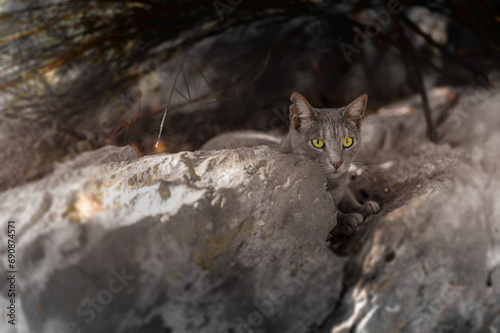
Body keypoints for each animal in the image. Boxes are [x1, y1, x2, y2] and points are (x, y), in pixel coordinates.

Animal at [200, 92, 378, 239]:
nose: (337, 163)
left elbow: (347, 196)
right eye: (318, 142)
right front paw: (347, 218)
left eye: (347, 141)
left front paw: (363, 206)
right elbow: (327, 215)